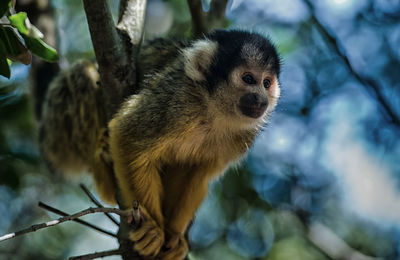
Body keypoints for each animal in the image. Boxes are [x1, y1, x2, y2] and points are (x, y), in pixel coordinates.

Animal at [39, 30, 280, 258]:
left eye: (266, 83)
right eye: (248, 78)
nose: (261, 99)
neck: (213, 111)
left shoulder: (242, 138)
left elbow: (197, 174)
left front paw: (173, 236)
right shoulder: (176, 100)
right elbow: (127, 136)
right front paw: (152, 228)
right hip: (58, 135)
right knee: (82, 72)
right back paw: (104, 173)